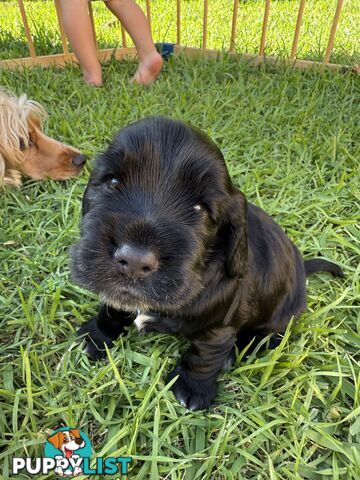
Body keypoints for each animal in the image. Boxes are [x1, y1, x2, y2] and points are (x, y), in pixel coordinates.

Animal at [71, 116, 344, 408]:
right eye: (112, 181)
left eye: (200, 209)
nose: (134, 261)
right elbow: (111, 307)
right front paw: (98, 334)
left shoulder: (218, 329)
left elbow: (203, 356)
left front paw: (192, 388)